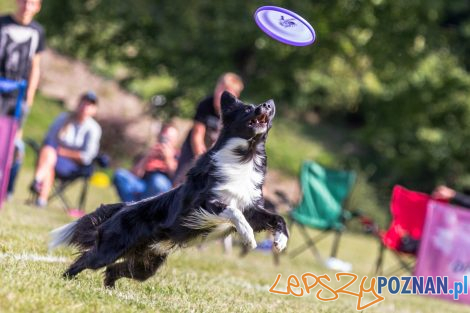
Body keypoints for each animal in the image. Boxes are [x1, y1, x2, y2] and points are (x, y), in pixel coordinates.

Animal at [49, 89, 288, 286]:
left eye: (264, 107)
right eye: (247, 108)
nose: (268, 105)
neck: (245, 155)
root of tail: (124, 207)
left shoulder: (251, 207)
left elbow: (276, 218)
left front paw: (280, 242)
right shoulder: (202, 204)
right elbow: (233, 211)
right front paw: (248, 236)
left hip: (147, 263)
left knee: (115, 270)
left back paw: (109, 290)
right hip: (111, 248)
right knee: (87, 260)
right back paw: (65, 280)